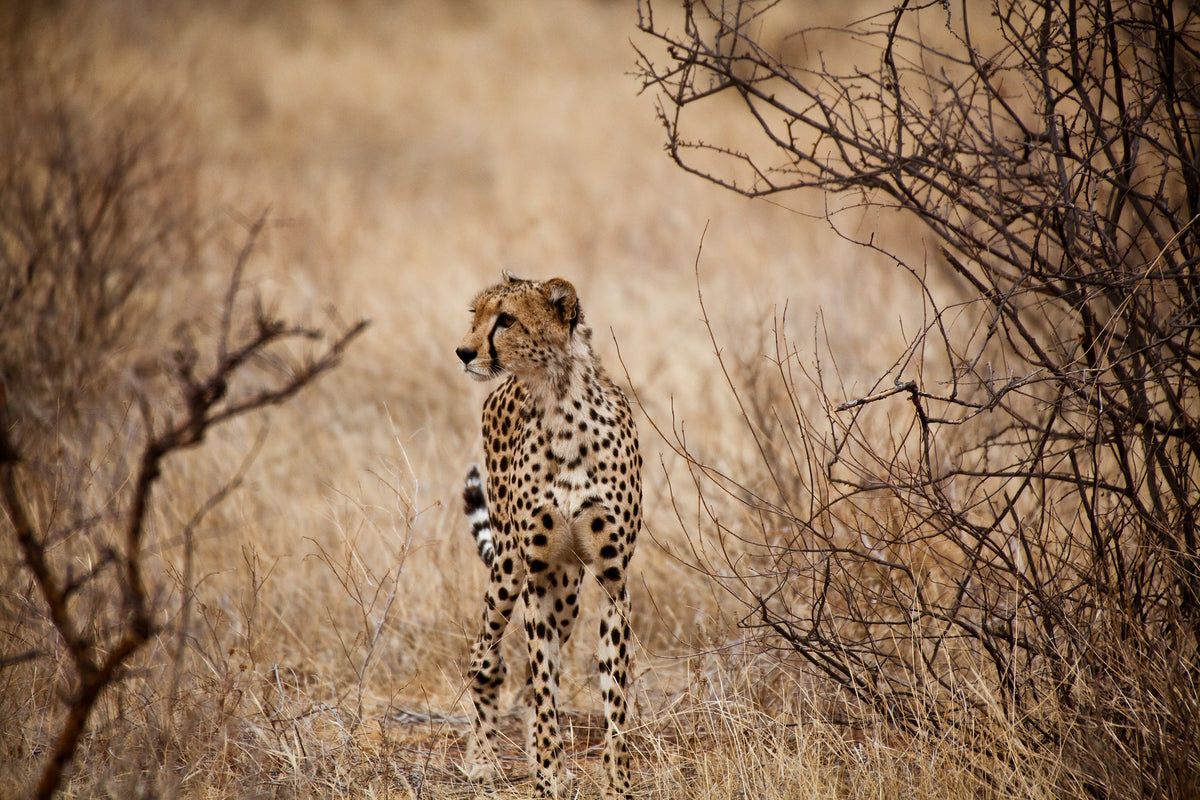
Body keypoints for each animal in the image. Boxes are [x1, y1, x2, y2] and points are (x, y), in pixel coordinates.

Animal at [455, 272, 641, 799]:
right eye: (475, 315)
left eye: (506, 319)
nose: (463, 351)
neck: (560, 403)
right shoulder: (535, 577)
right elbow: (543, 686)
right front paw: (545, 779)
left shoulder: (612, 579)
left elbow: (614, 691)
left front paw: (618, 782)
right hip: (509, 569)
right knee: (488, 658)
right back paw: (482, 760)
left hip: (567, 593)